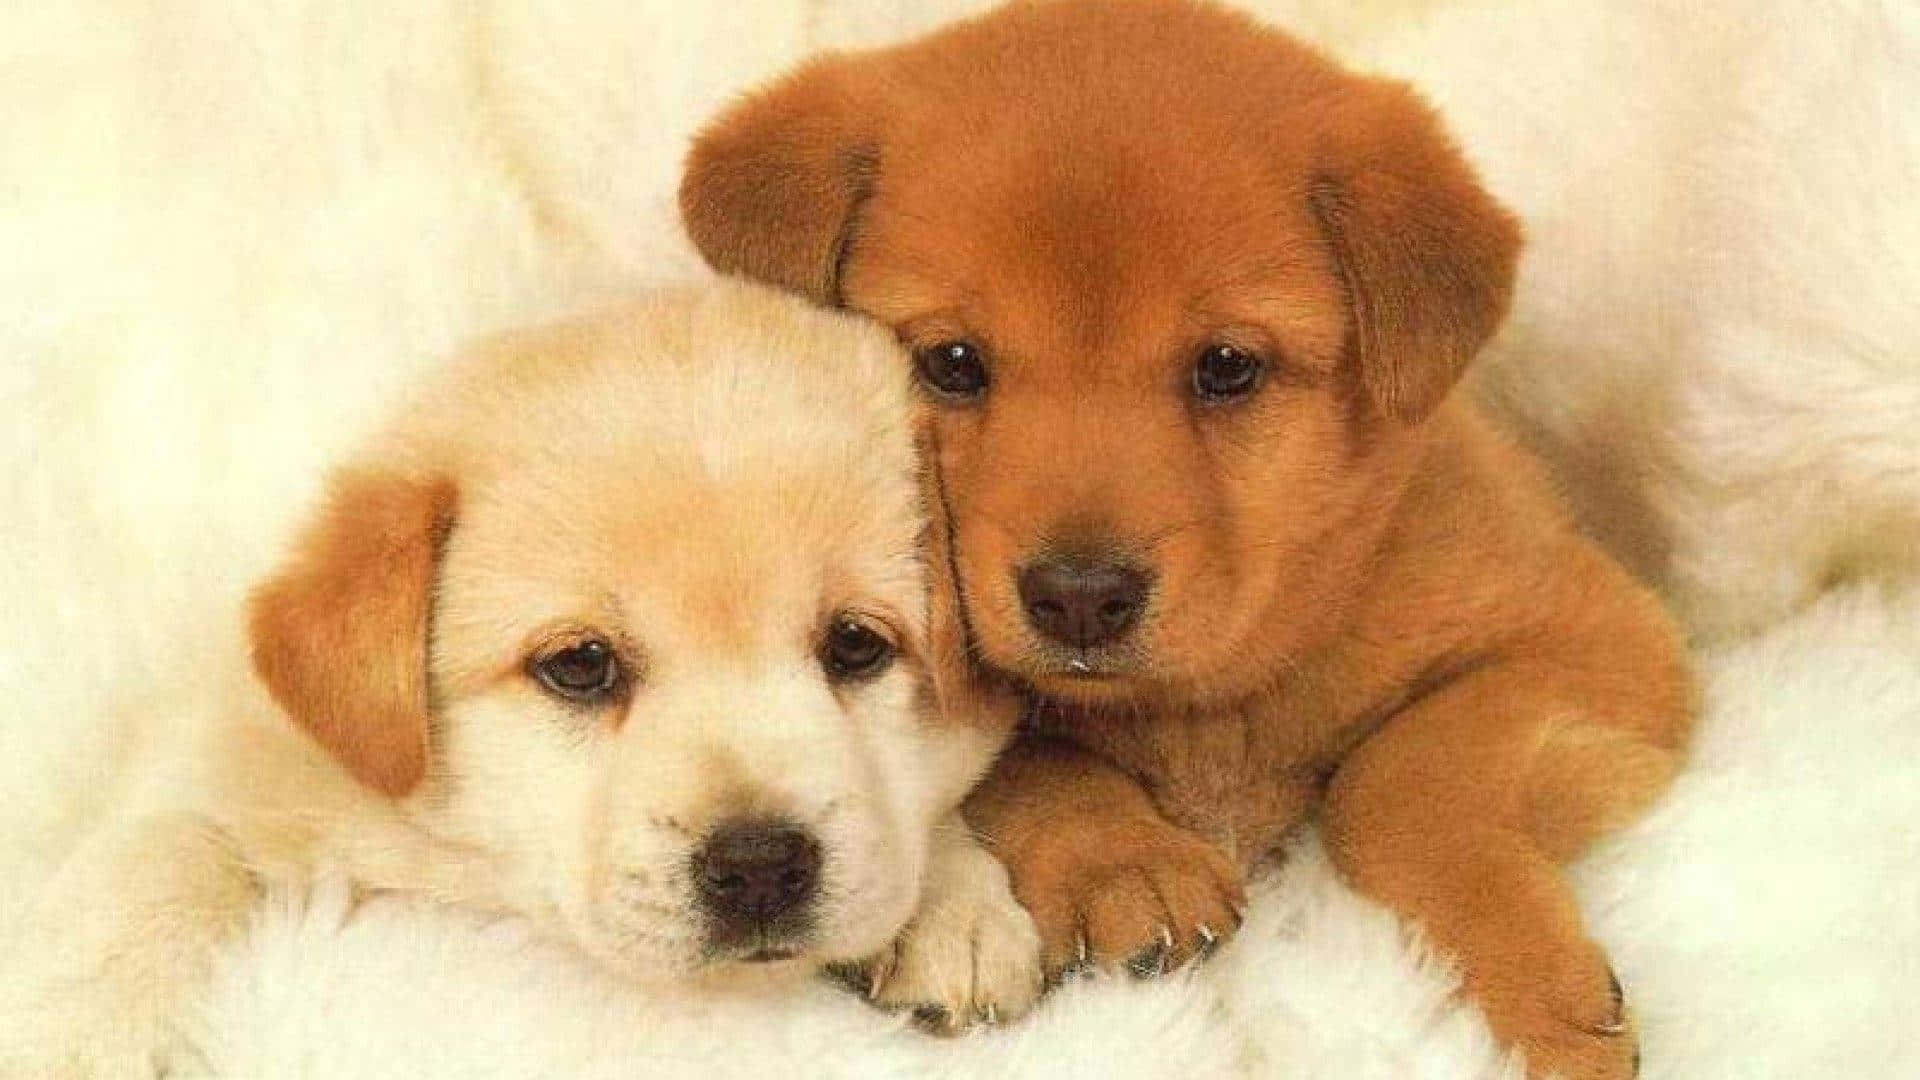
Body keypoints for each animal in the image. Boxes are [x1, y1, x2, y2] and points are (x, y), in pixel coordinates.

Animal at [0, 282, 1036, 1068]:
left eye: (856, 646)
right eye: (579, 665)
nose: (758, 866)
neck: (468, 871)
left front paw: (952, 908)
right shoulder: (211, 767)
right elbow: (146, 878)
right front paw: (76, 1044)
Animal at [679, 4, 1697, 1068]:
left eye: (1227, 367)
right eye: (950, 362)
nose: (1080, 598)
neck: (1213, 708)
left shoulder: (1600, 637)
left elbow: (1401, 774)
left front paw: (1538, 1003)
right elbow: (1028, 756)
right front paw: (1120, 858)